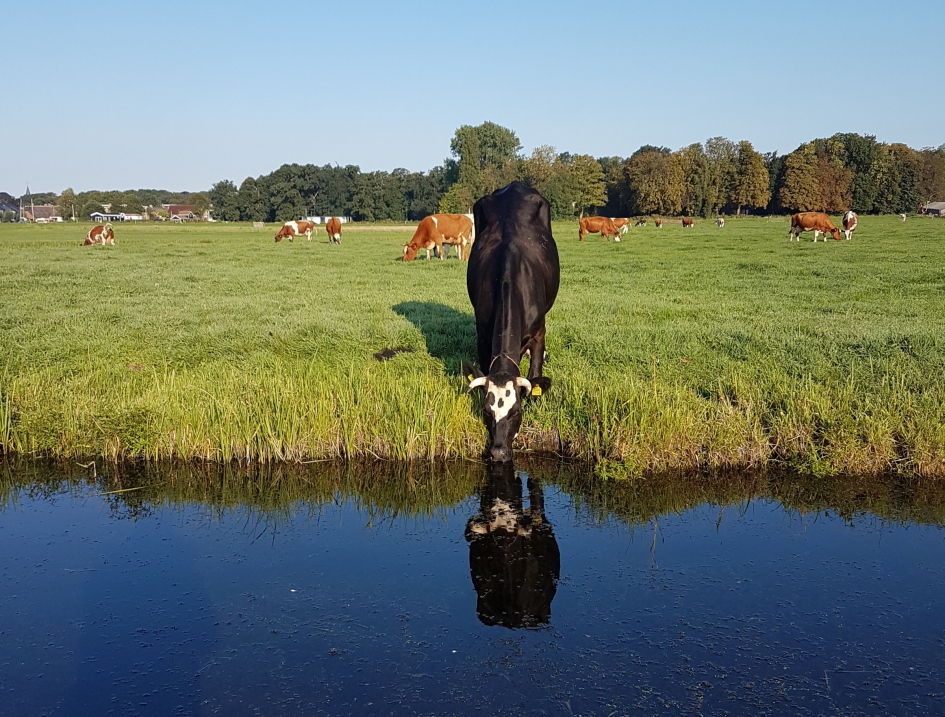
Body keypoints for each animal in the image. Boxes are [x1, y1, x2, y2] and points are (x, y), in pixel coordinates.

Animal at [463, 182, 560, 463]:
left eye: (516, 412)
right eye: (486, 411)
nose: (498, 453)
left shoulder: (539, 332)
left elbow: (535, 373)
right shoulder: (482, 334)